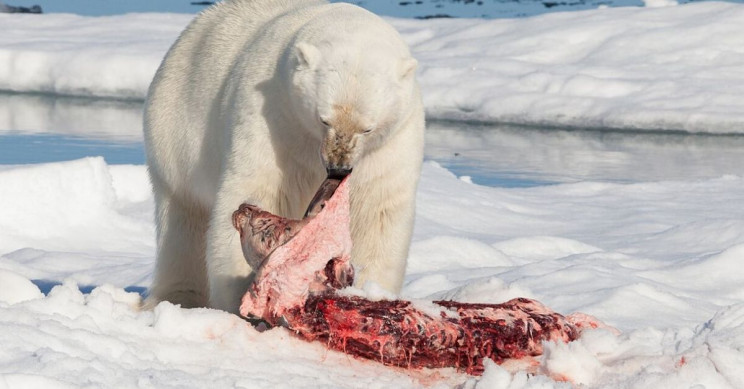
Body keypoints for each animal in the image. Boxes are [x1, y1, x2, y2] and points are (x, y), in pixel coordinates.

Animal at [142, 0, 422, 312]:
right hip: (174, 130)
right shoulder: (274, 117)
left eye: (367, 127)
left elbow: (378, 210)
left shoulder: (393, 141)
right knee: (183, 223)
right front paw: (245, 290)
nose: (338, 168)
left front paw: (368, 291)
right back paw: (178, 297)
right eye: (324, 119)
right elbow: (258, 189)